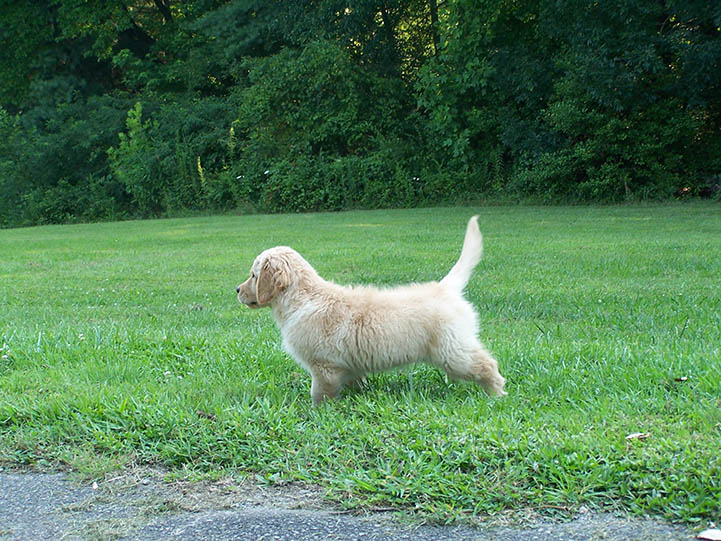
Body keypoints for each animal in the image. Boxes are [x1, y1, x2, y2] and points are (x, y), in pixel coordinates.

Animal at [236, 216, 506, 404]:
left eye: (253, 275)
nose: (237, 289)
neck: (303, 298)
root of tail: (445, 287)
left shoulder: (323, 367)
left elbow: (320, 394)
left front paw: (317, 411)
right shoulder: (345, 366)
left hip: (453, 349)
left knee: (487, 364)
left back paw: (497, 393)